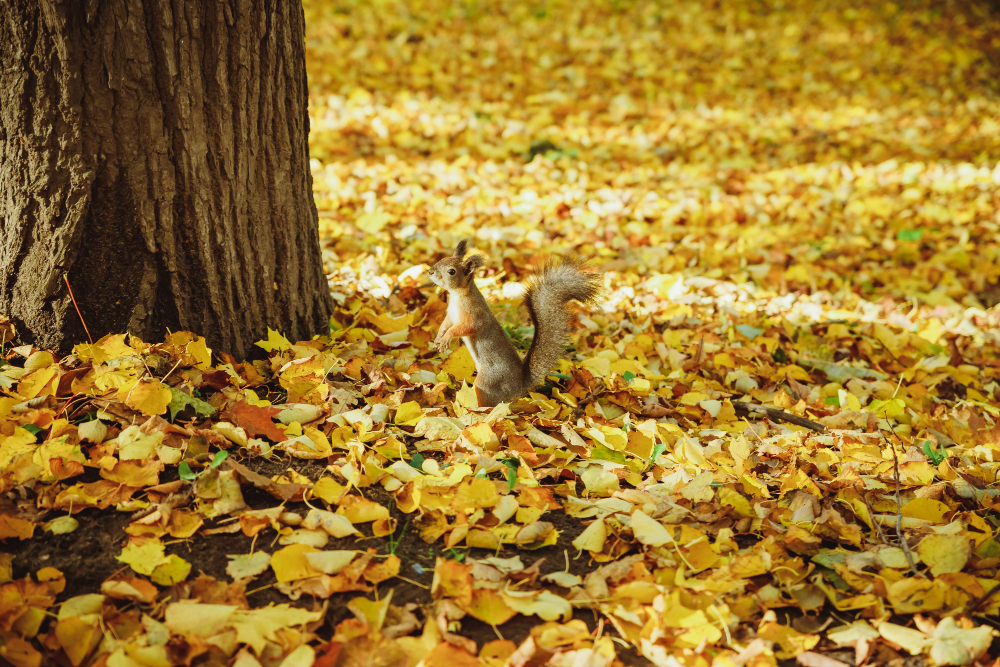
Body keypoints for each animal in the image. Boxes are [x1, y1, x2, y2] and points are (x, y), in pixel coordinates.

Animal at [424, 240, 596, 408]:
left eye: (451, 271)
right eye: (442, 259)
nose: (430, 272)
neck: (457, 295)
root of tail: (519, 386)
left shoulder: (474, 314)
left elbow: (464, 328)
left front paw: (447, 338)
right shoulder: (451, 314)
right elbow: (445, 324)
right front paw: (439, 338)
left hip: (488, 381)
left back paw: (474, 410)